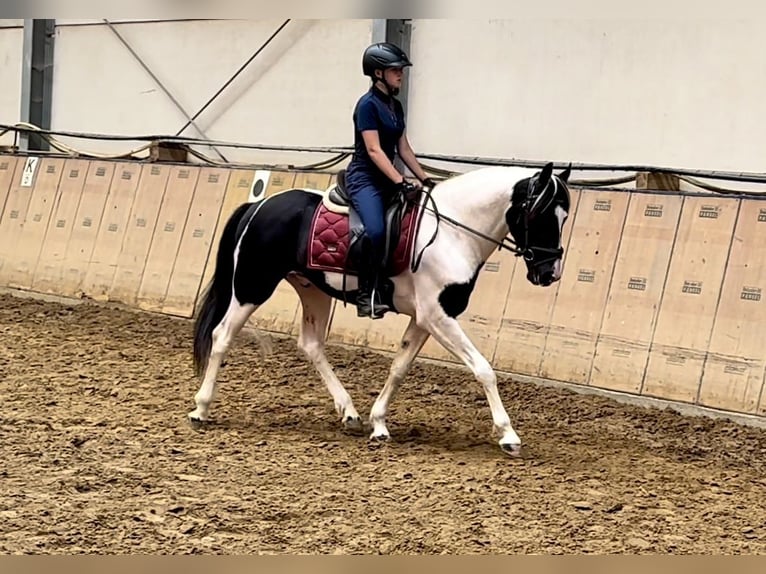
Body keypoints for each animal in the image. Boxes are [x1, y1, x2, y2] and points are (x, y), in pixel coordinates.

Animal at [189, 162, 572, 460]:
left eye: (564, 216)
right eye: (538, 213)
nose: (549, 273)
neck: (453, 233)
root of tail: (260, 205)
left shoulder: (423, 319)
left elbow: (399, 368)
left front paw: (379, 423)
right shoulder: (439, 316)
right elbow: (483, 369)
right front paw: (508, 435)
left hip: (312, 290)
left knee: (311, 344)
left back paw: (349, 413)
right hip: (252, 286)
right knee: (222, 336)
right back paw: (201, 408)